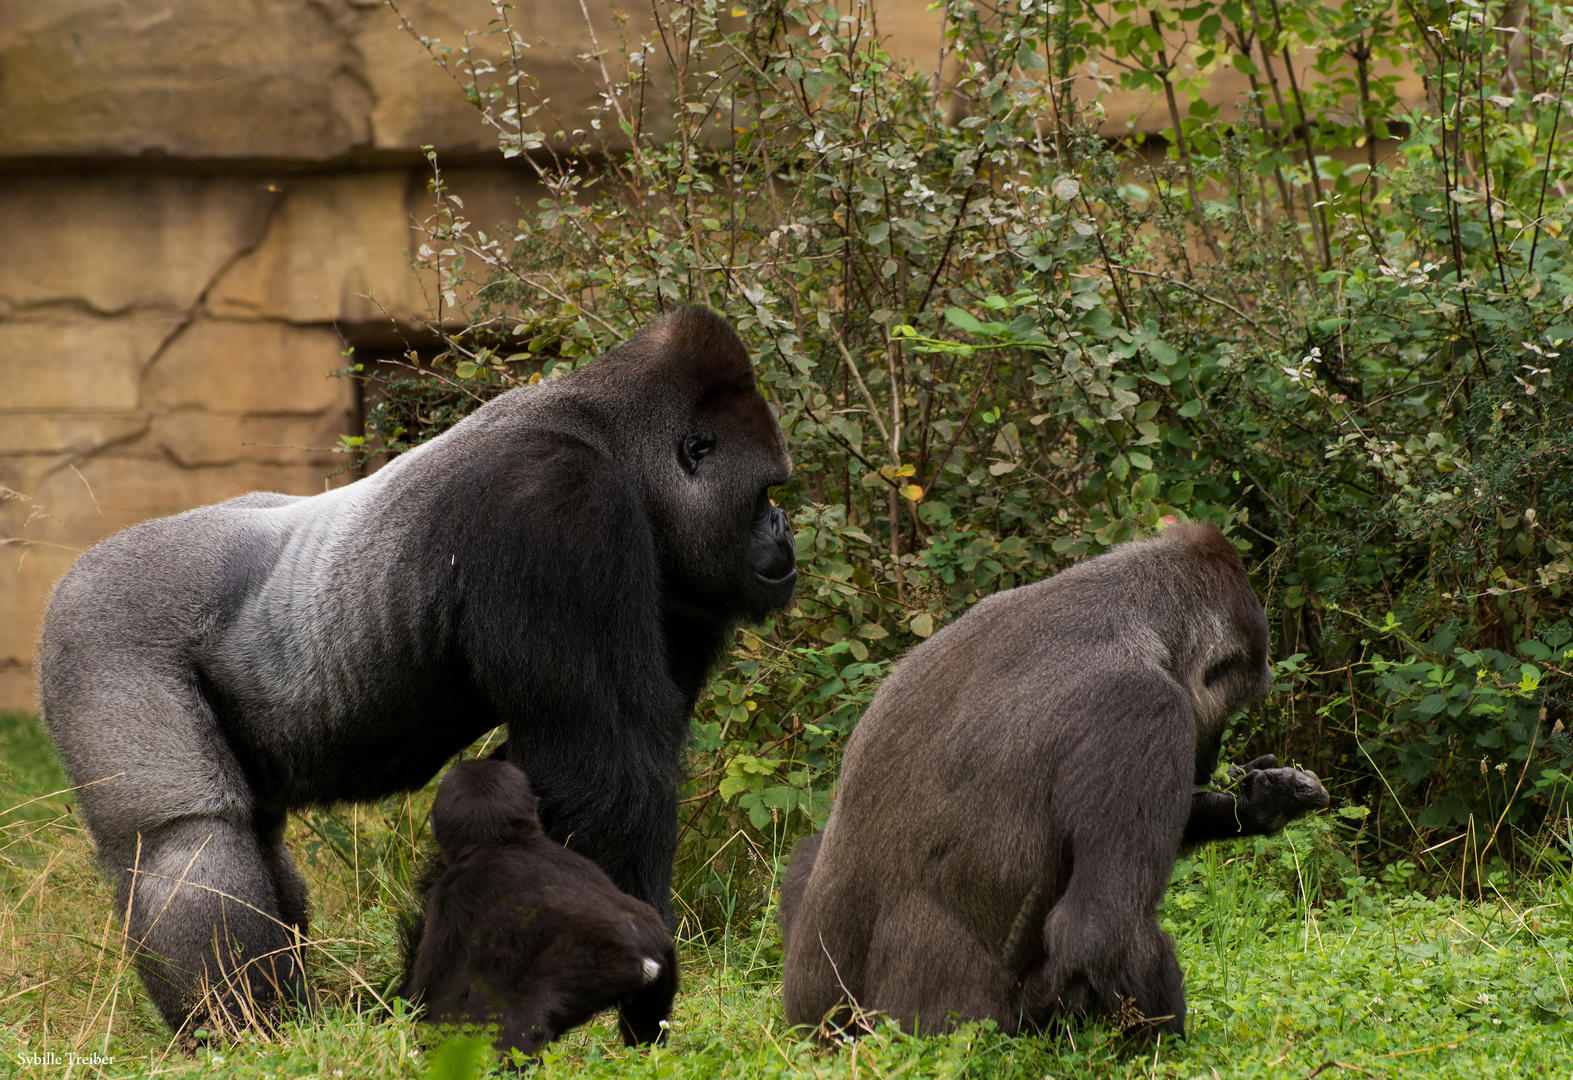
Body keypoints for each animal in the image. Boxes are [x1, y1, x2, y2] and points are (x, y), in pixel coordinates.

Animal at [399, 760, 676, 1062]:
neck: (505, 841)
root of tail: (642, 953)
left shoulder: (449, 896)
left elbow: (436, 992)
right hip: (660, 963)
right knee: (648, 1022)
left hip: (590, 973)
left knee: (523, 1029)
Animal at [780, 521, 1321, 1037]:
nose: (1209, 759)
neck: (1126, 611)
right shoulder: (1148, 709)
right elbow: (1098, 930)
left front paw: (1260, 802)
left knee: (808, 852)